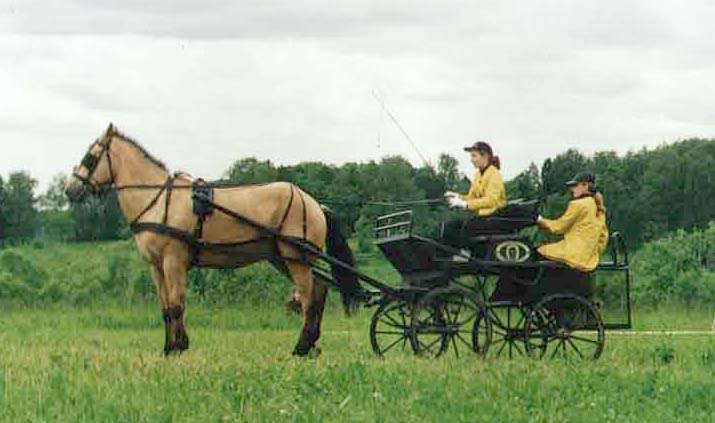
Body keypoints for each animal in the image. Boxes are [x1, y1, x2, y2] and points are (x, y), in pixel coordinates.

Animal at [64, 124, 360, 356]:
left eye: (90, 157)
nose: (70, 189)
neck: (159, 199)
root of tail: (314, 203)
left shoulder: (173, 260)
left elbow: (177, 305)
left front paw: (179, 347)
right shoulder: (156, 266)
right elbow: (165, 307)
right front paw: (168, 347)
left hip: (296, 258)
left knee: (309, 299)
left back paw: (301, 346)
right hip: (285, 259)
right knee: (319, 290)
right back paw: (311, 345)